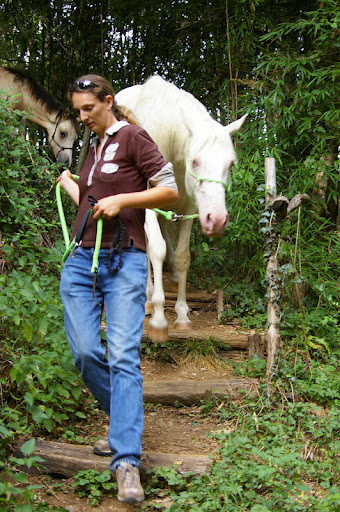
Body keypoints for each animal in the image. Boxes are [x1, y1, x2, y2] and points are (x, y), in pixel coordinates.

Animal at [115, 77, 246, 340]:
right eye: (195, 161)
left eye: (230, 164)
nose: (217, 220)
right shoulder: (146, 205)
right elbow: (156, 250)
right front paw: (158, 319)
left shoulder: (189, 207)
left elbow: (183, 255)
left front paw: (182, 315)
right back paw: (147, 298)